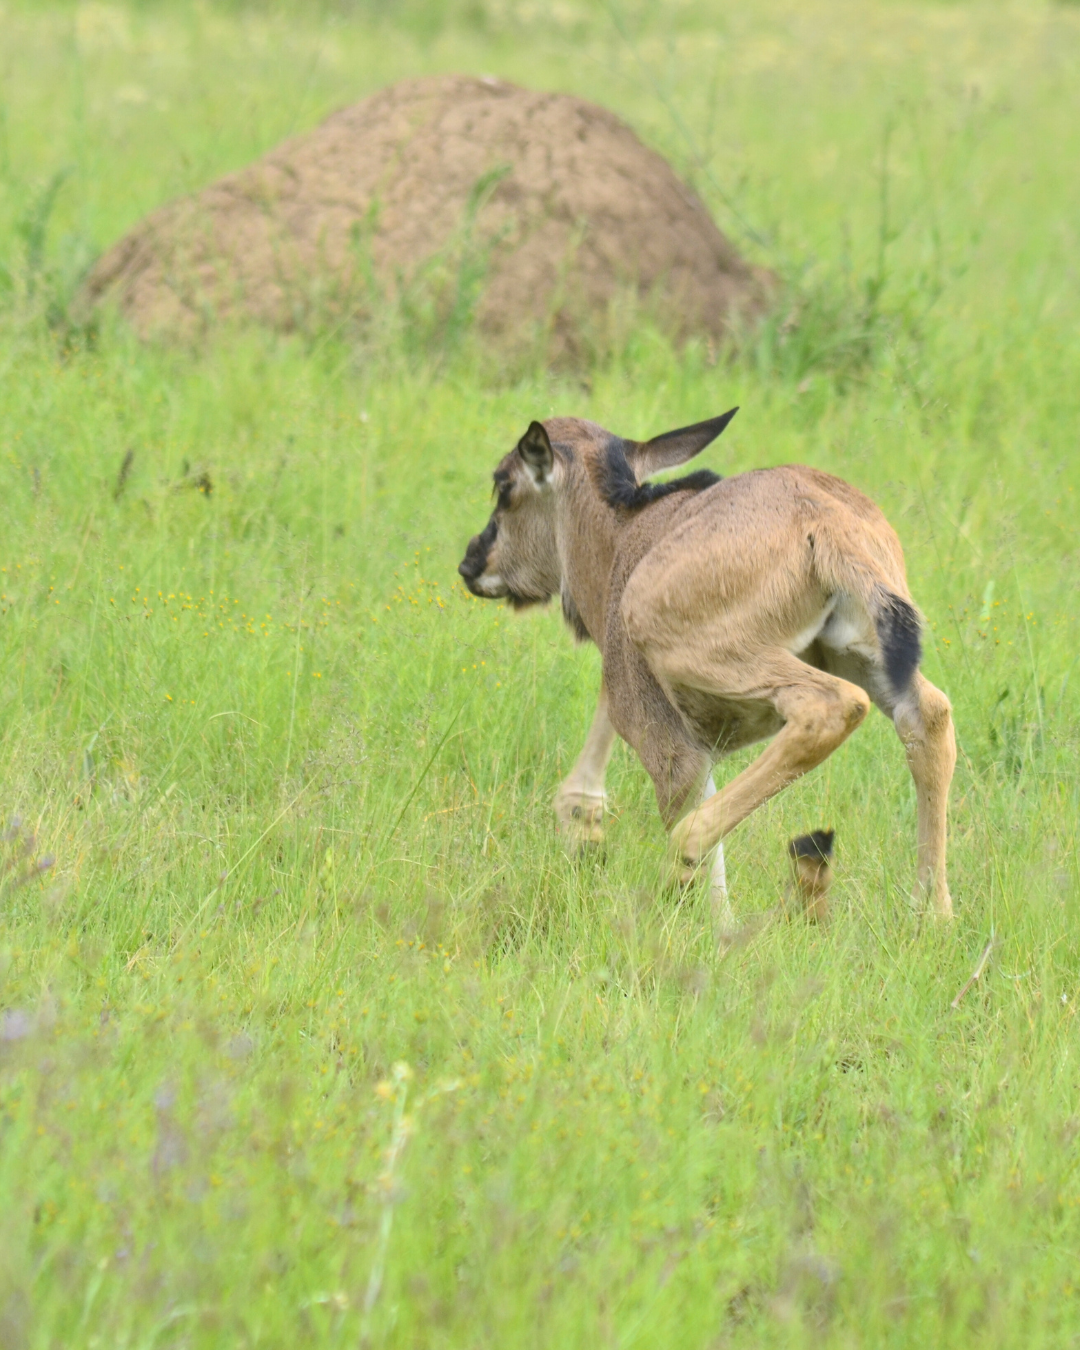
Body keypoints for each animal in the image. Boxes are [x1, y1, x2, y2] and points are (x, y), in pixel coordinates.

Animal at [457, 410, 956, 934]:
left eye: (504, 486)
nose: (471, 563)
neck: (621, 534)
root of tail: (826, 521)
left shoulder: (671, 747)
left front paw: (714, 932)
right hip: (862, 656)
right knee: (928, 717)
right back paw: (933, 914)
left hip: (717, 655)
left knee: (826, 711)